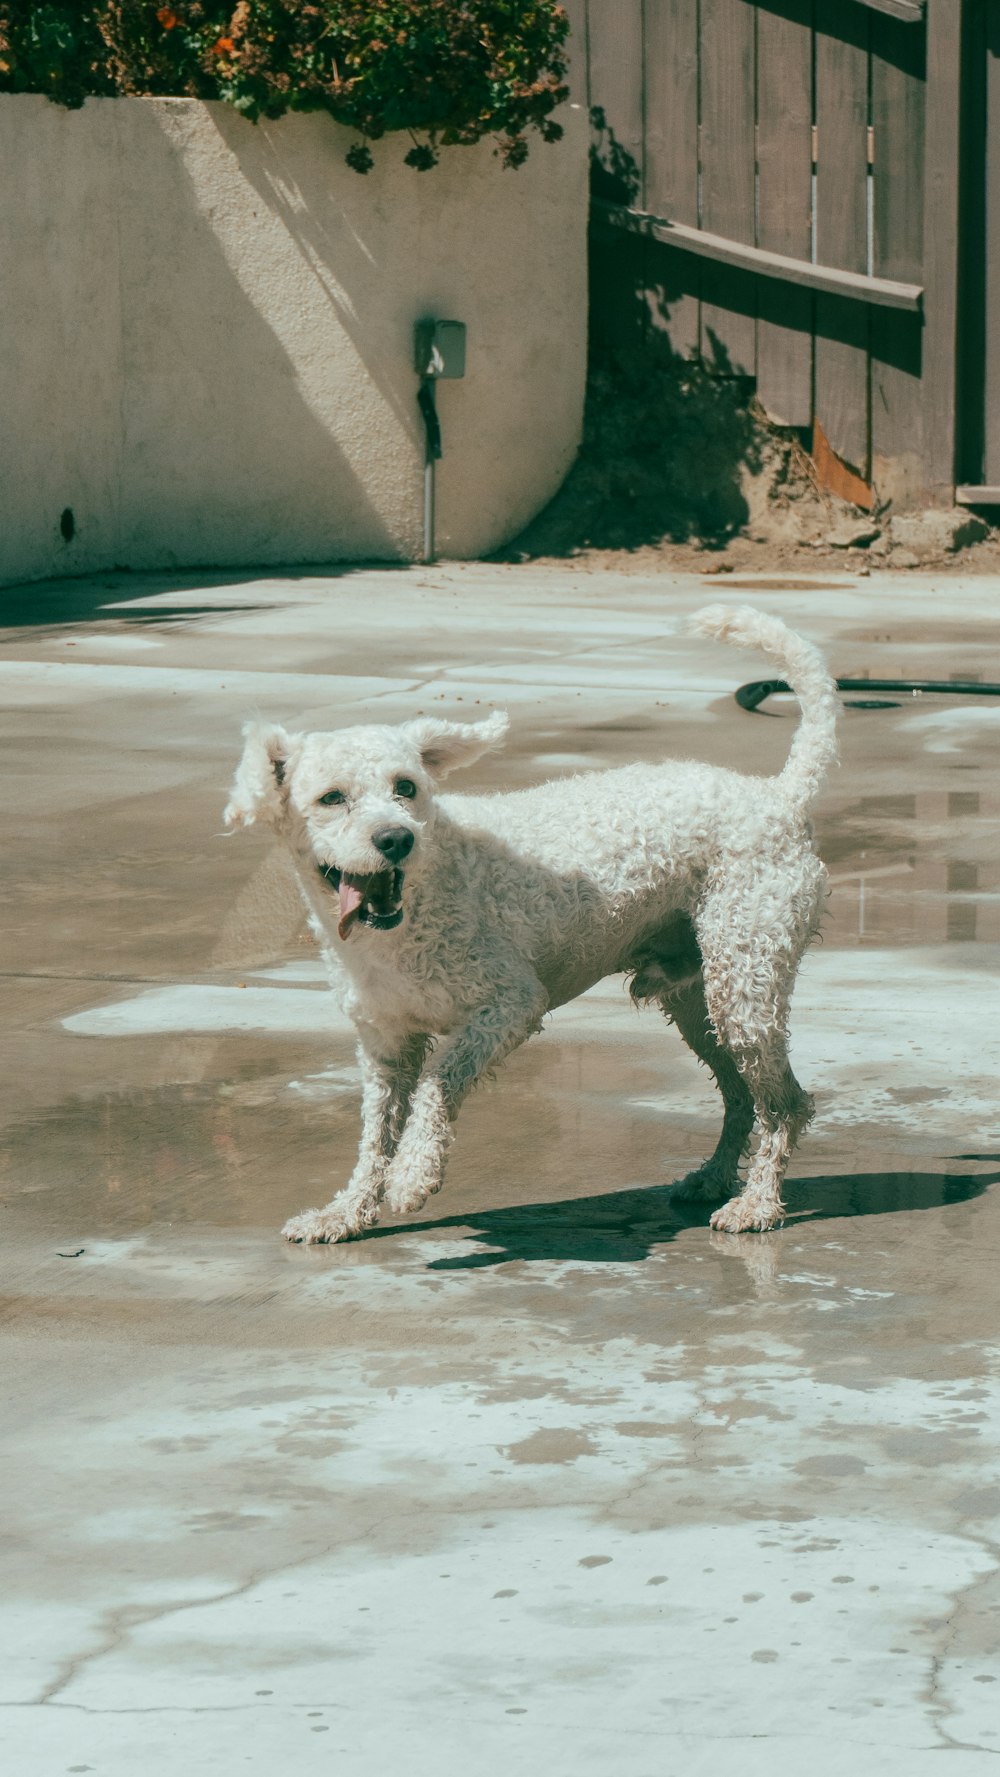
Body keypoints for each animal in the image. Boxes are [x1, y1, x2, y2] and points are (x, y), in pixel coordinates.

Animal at [224, 604, 838, 1243]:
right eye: (331, 798)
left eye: (406, 787)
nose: (396, 839)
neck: (415, 907)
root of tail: (779, 795)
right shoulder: (387, 1047)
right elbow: (375, 1136)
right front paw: (346, 1211)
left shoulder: (509, 1005)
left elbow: (439, 1081)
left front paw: (414, 1175)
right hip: (699, 1002)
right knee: (741, 1096)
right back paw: (715, 1178)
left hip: (744, 987)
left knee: (784, 1103)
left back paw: (758, 1203)